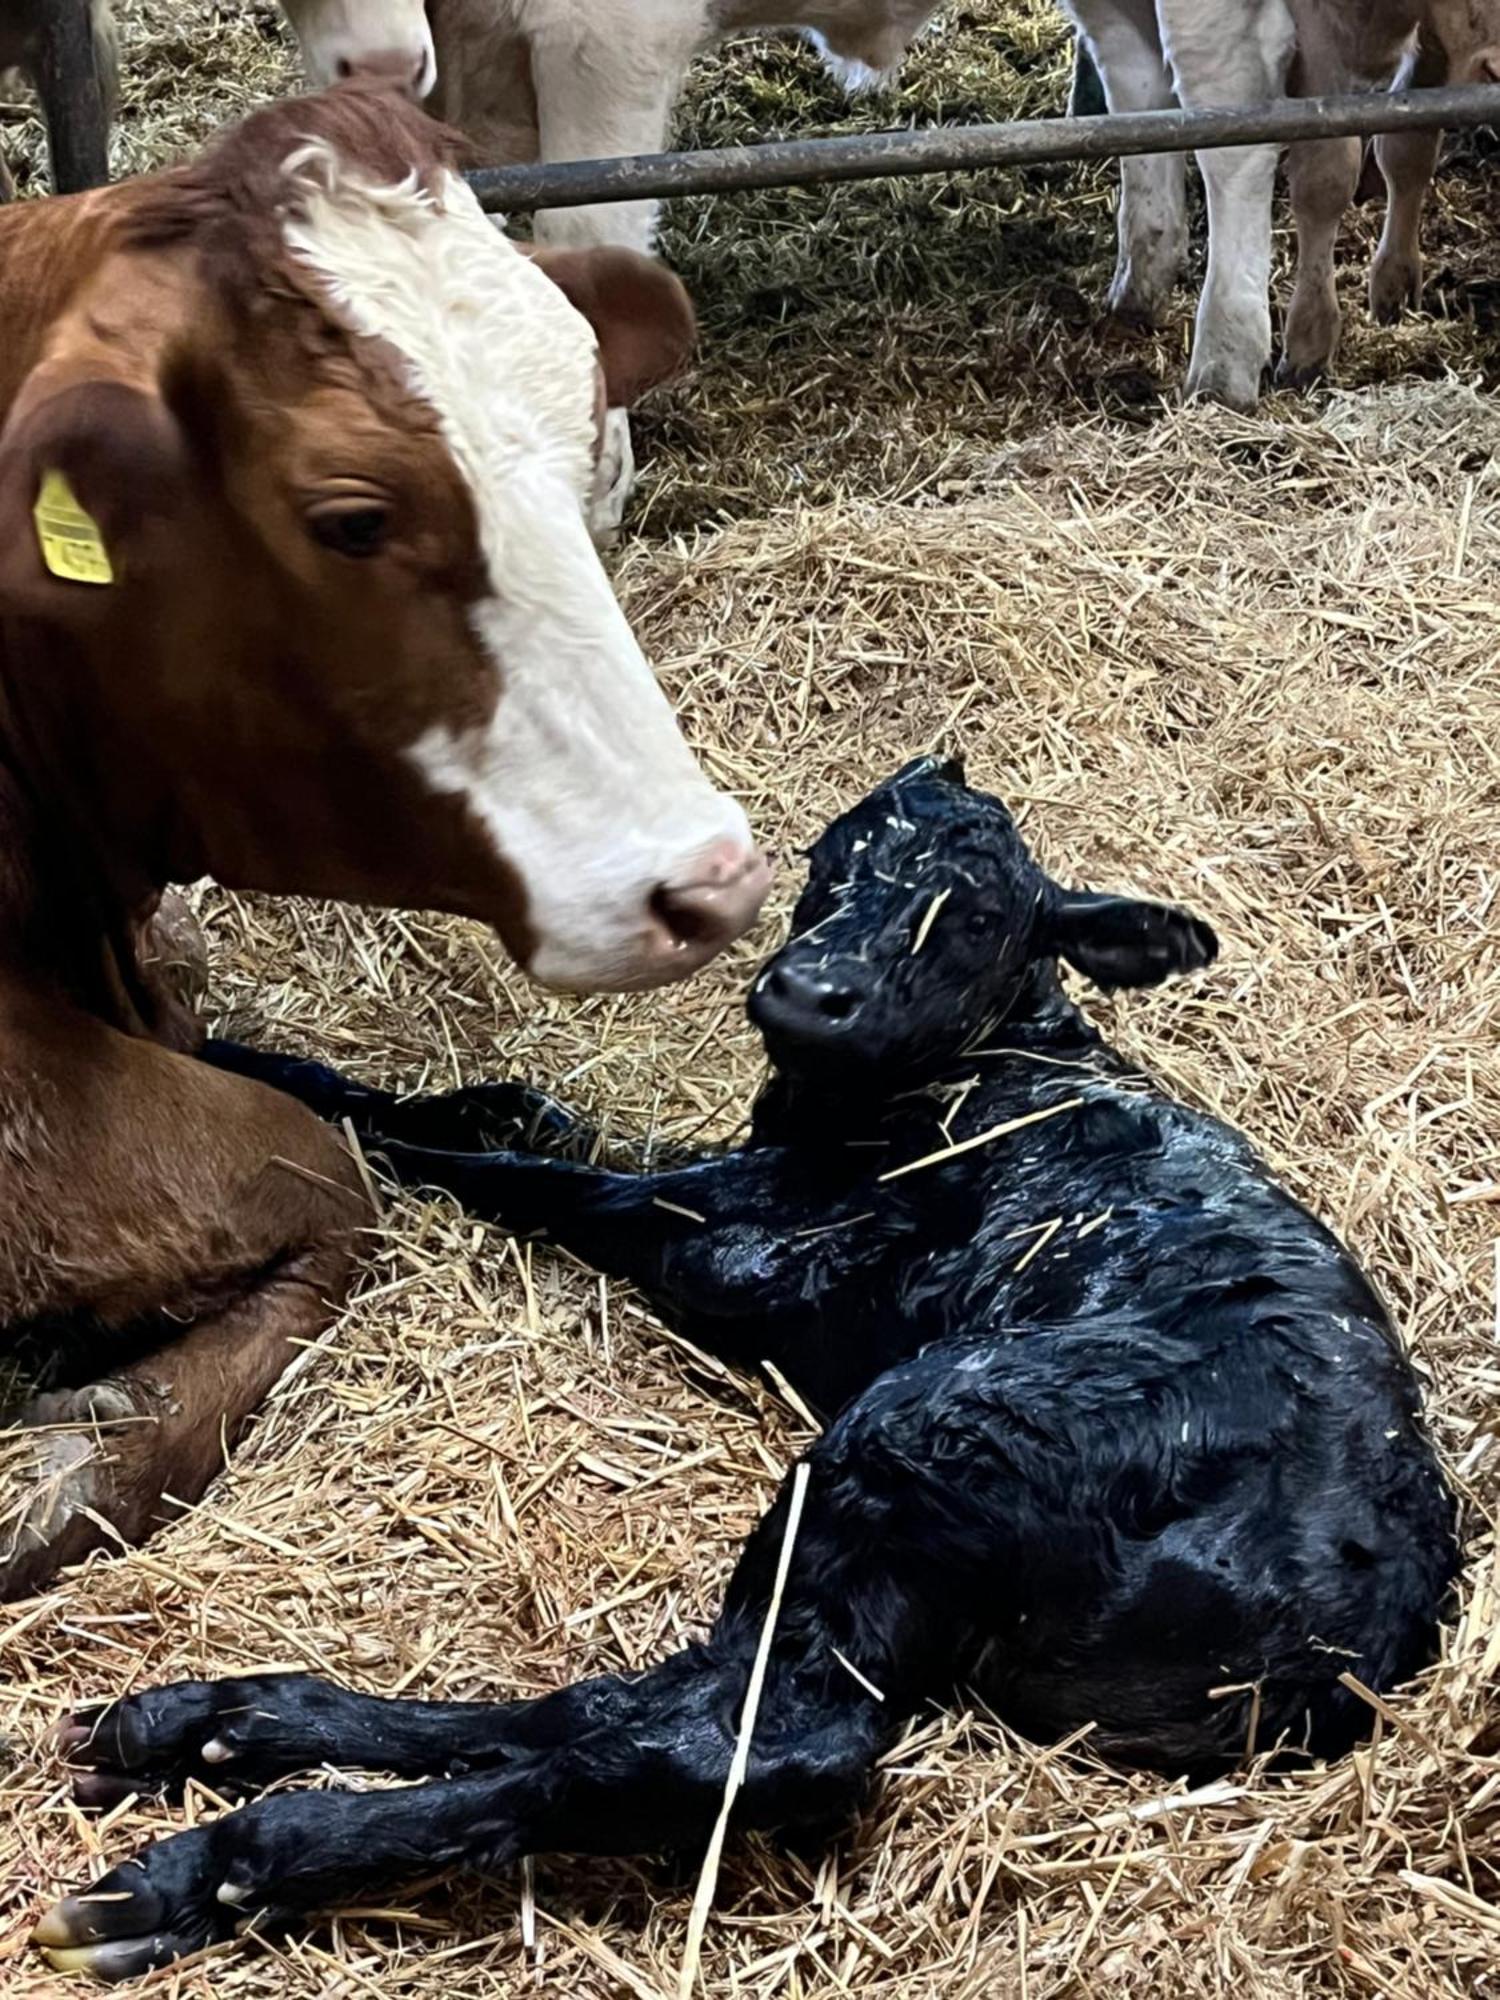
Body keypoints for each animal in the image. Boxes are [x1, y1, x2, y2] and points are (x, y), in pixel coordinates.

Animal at [41, 756, 1464, 1976]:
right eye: (837, 856)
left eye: (972, 918)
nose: (805, 991)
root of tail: (1368, 1636)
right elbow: (509, 1112)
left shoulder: (747, 1244)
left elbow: (485, 1158)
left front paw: (271, 1075)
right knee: (652, 1702)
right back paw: (212, 1720)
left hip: (928, 1425)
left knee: (761, 1739)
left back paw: (222, 1856)